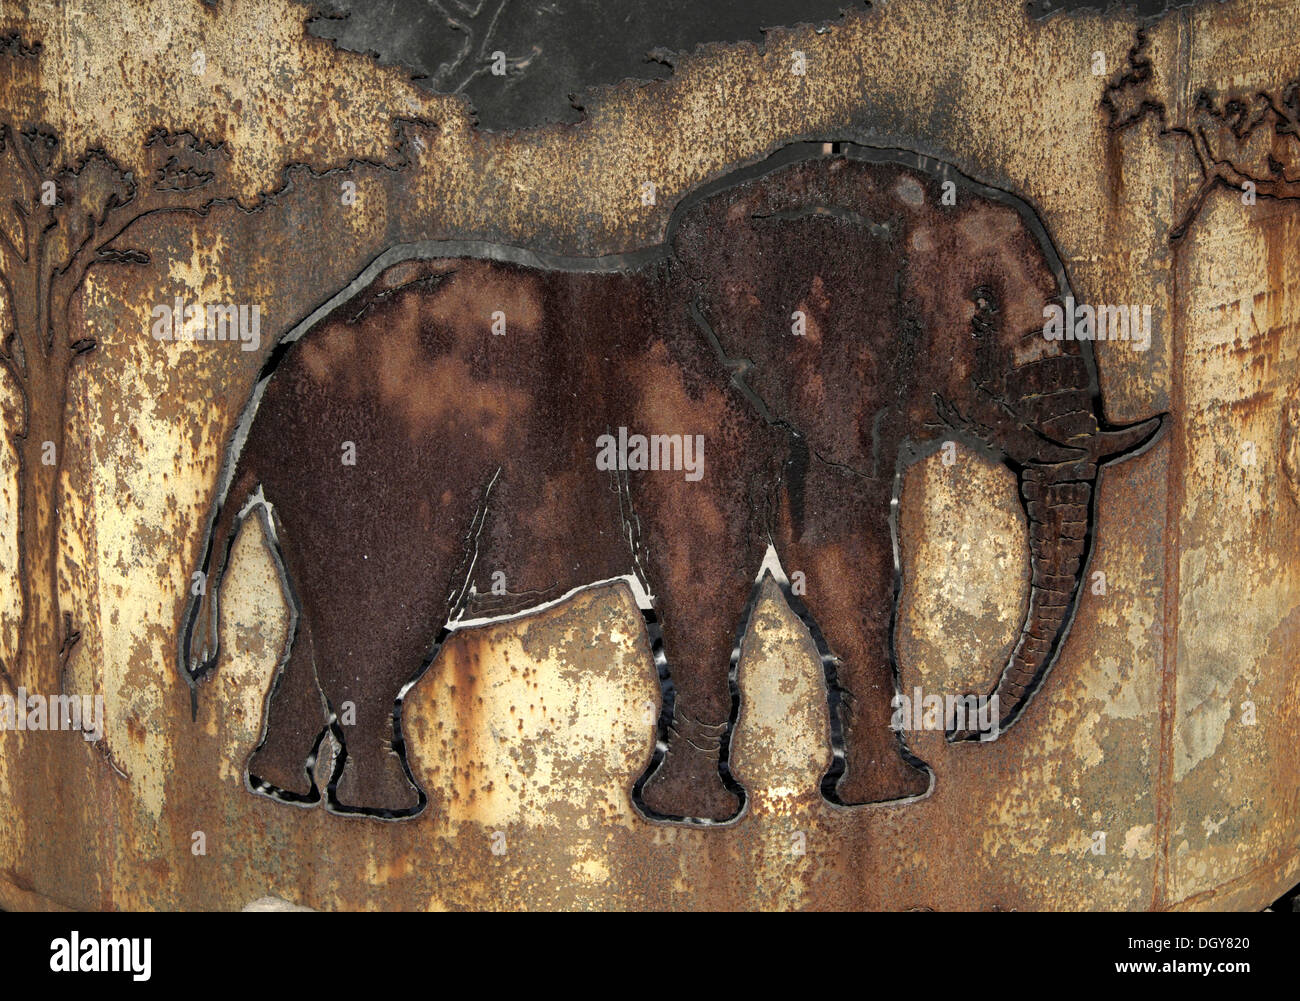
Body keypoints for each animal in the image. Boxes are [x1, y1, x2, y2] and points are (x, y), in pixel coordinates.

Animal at [179, 141, 1164, 822]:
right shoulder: (685, 417)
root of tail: (266, 389)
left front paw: (886, 799)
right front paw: (697, 818)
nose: (964, 722)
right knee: (386, 622)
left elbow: (847, 571)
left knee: (324, 634)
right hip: (375, 473)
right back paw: (390, 810)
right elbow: (705, 582)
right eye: (982, 313)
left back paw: (281, 793)